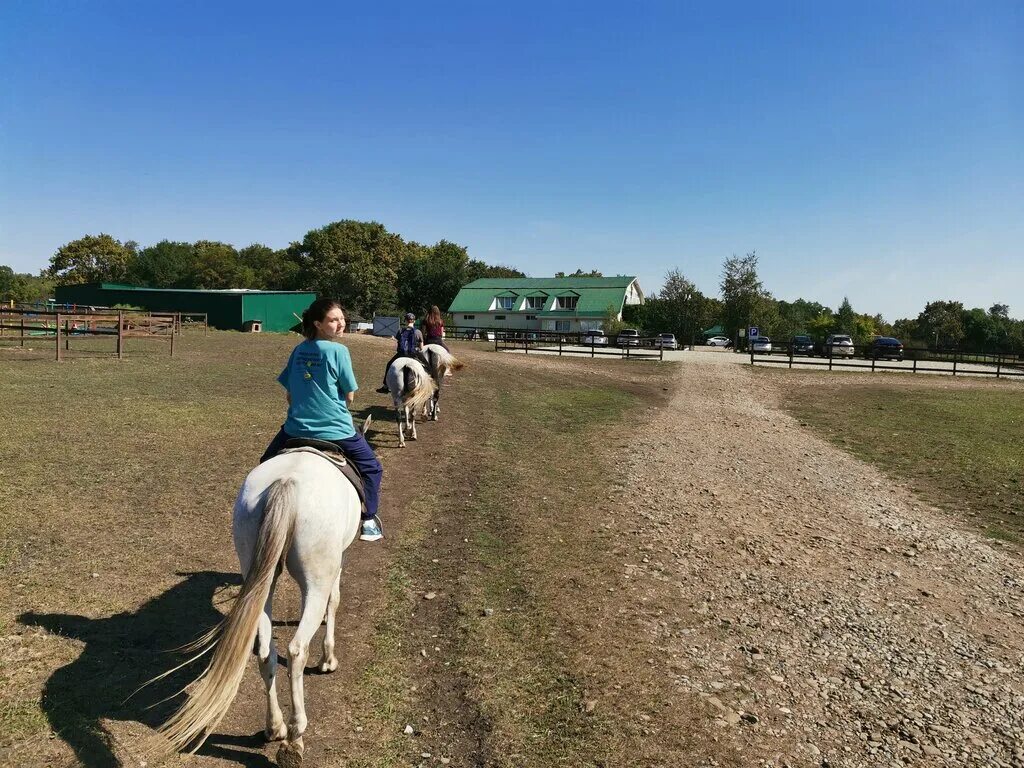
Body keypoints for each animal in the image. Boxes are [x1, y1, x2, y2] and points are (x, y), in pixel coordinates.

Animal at [149, 448, 364, 765]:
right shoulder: (339, 561)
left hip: (262, 578)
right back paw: (294, 738)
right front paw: (328, 660)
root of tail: (288, 482)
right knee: (296, 650)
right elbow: (334, 602)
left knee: (266, 654)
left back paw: (274, 727)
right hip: (315, 579)